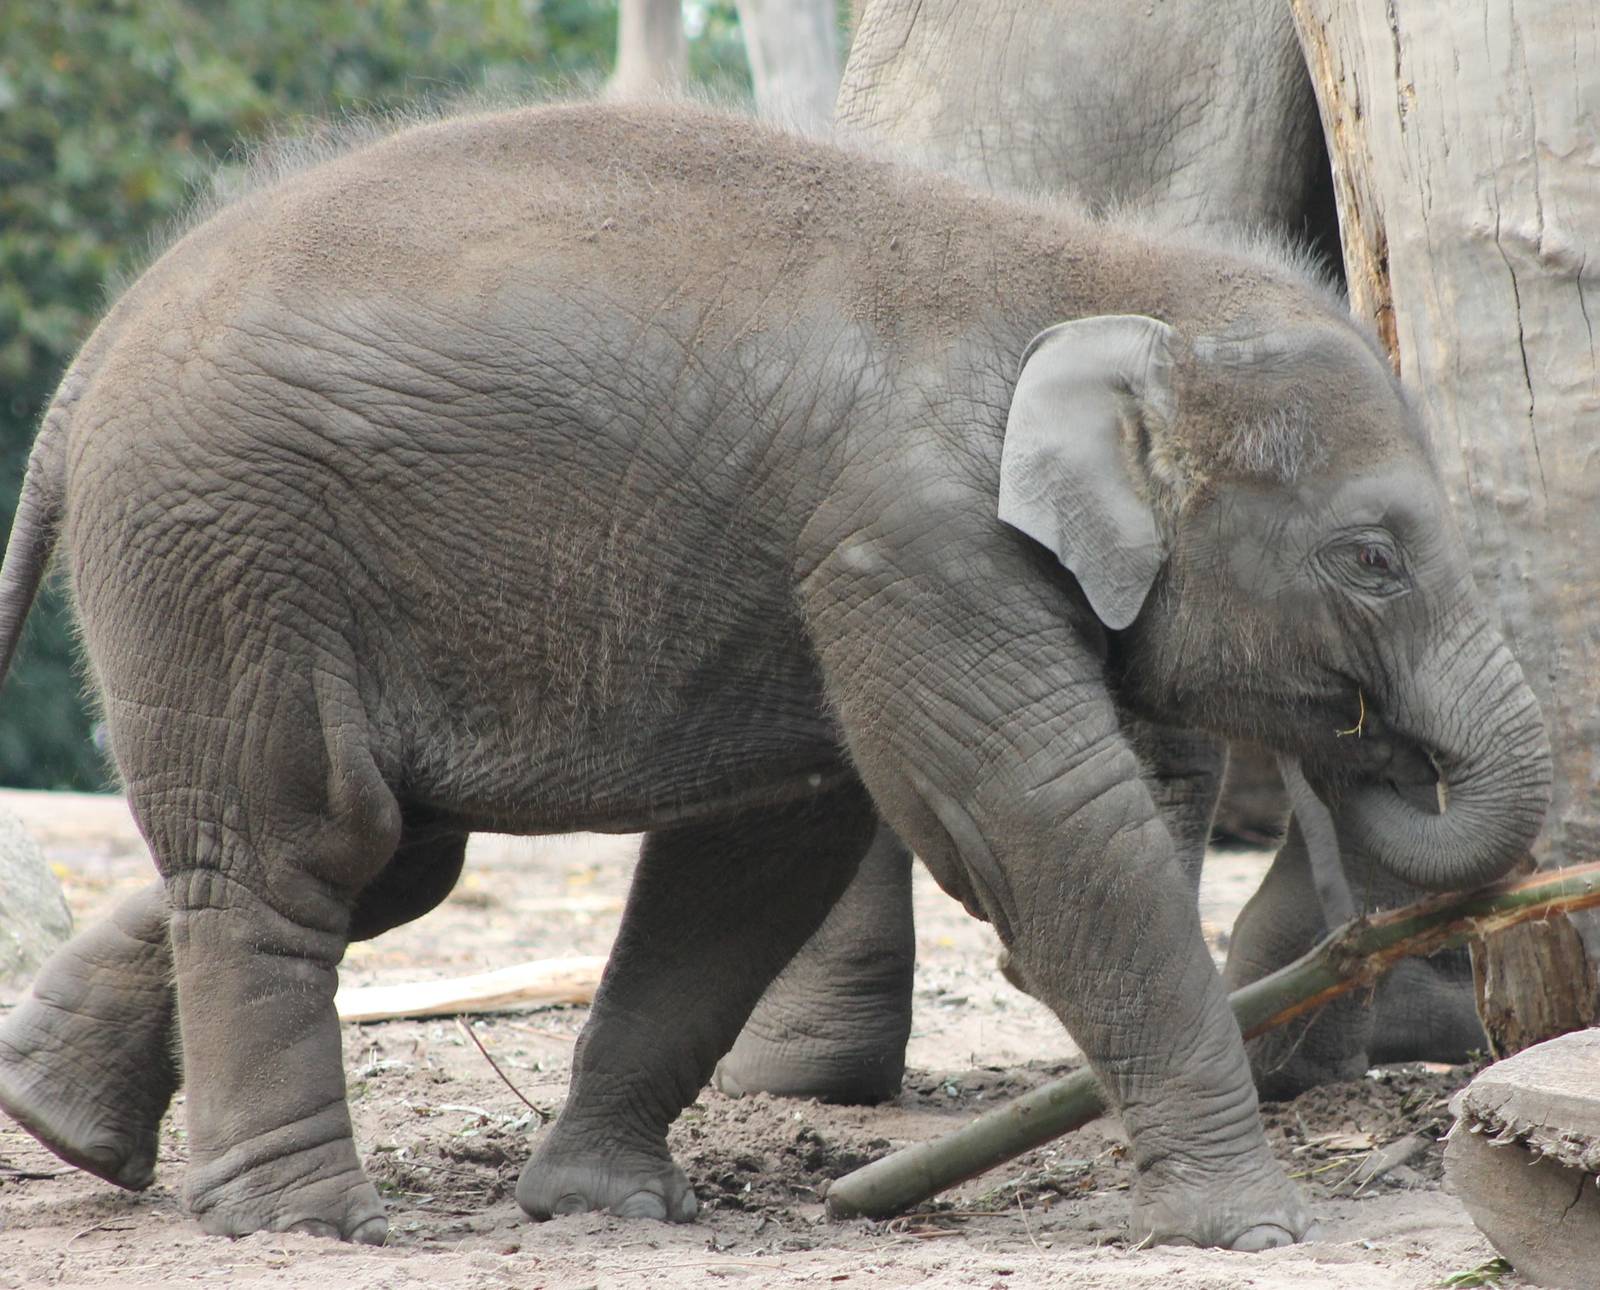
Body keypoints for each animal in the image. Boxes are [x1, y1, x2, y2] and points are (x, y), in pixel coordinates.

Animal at [0, 102, 1552, 1251]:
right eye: (1372, 559)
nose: (1373, 742)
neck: (1097, 275)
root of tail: (89, 359)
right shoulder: (909, 540)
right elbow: (1042, 824)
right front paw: (1255, 1227)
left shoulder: (823, 576)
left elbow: (758, 859)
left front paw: (609, 1207)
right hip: (221, 552)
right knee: (304, 847)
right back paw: (303, 1224)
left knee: (379, 859)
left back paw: (62, 1122)